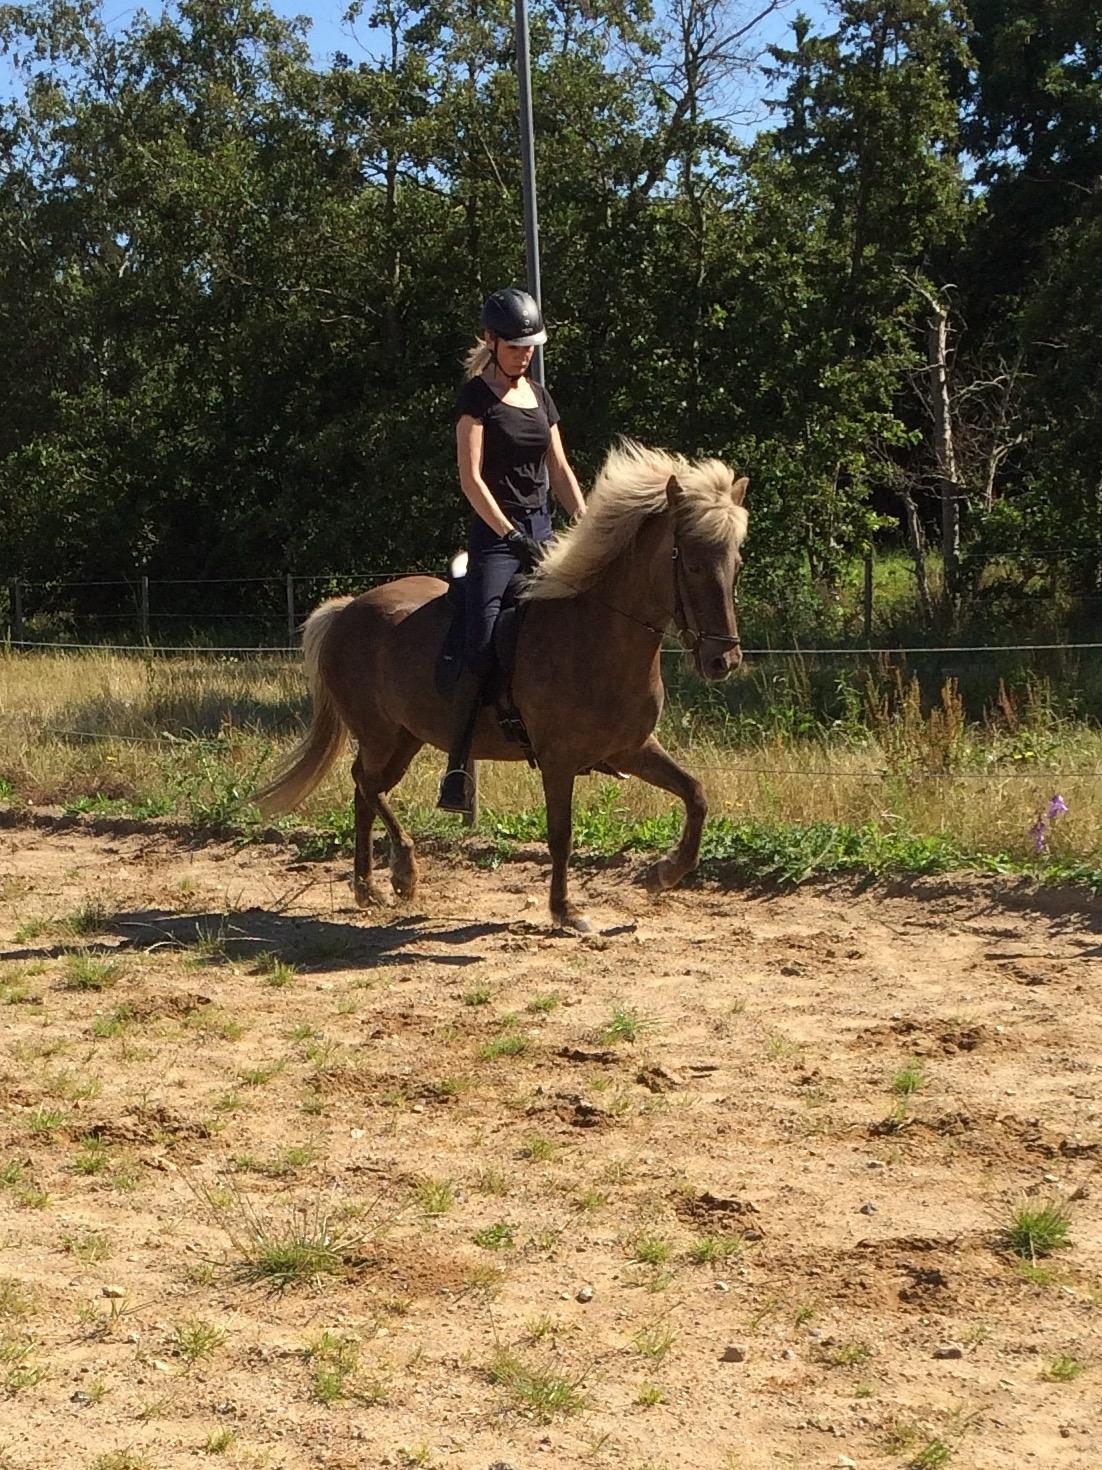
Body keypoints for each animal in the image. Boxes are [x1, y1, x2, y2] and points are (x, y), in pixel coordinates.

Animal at [254, 441, 746, 934]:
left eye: (735, 564)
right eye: (693, 564)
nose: (723, 660)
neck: (596, 634)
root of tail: (347, 609)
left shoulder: (632, 748)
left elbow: (696, 794)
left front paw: (665, 872)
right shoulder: (558, 761)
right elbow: (561, 834)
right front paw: (565, 910)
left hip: (406, 738)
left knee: (366, 791)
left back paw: (371, 885)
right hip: (380, 735)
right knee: (365, 783)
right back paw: (399, 873)